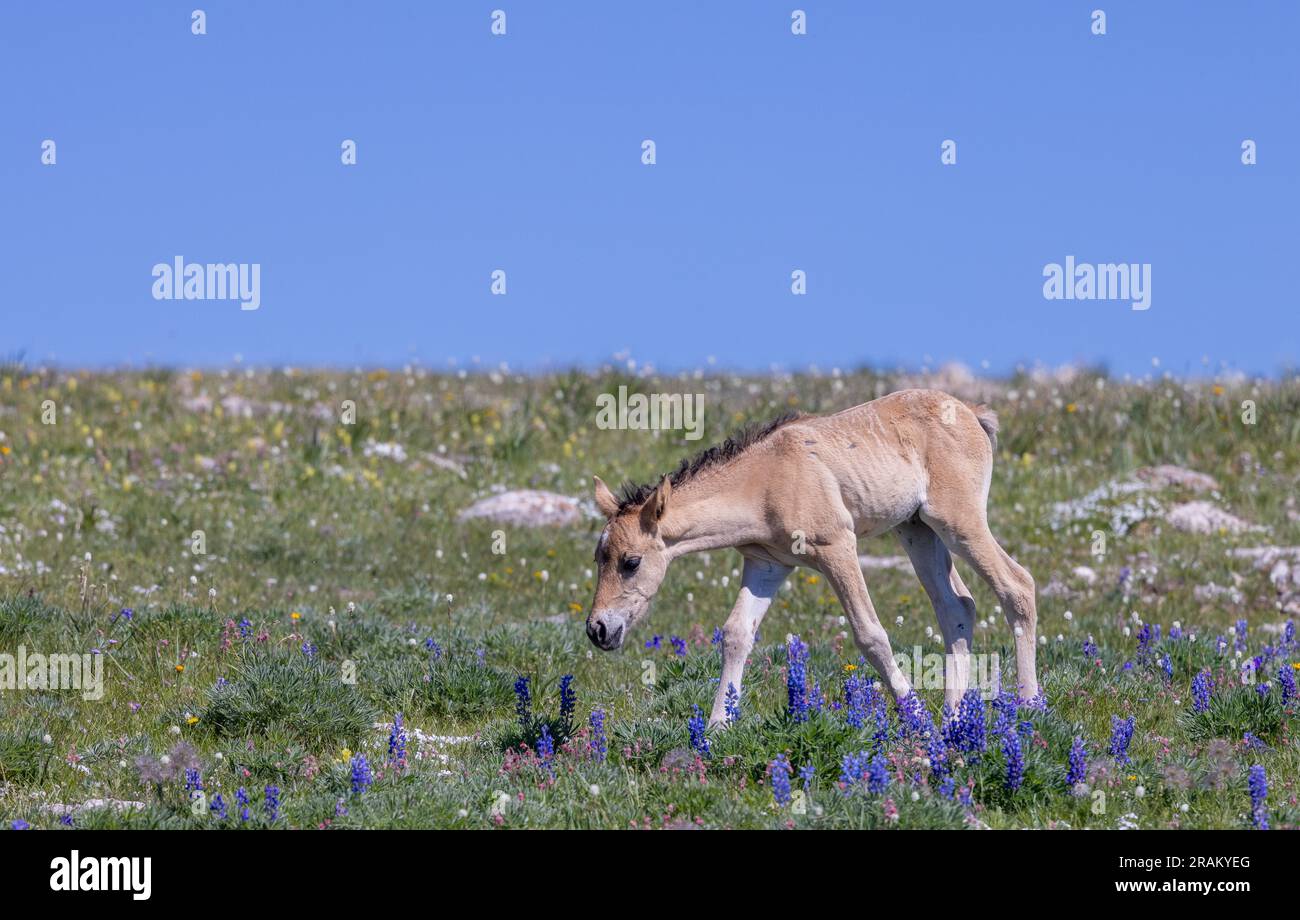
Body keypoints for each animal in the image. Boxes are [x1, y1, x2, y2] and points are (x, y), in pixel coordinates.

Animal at [587, 387, 1034, 727]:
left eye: (631, 562)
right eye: (598, 557)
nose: (598, 630)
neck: (765, 480)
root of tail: (971, 412)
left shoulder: (837, 548)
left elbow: (870, 635)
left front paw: (915, 715)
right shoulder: (767, 564)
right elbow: (735, 635)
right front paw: (714, 730)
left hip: (958, 522)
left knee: (1017, 586)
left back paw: (1029, 706)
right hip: (918, 530)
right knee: (957, 607)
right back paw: (953, 720)